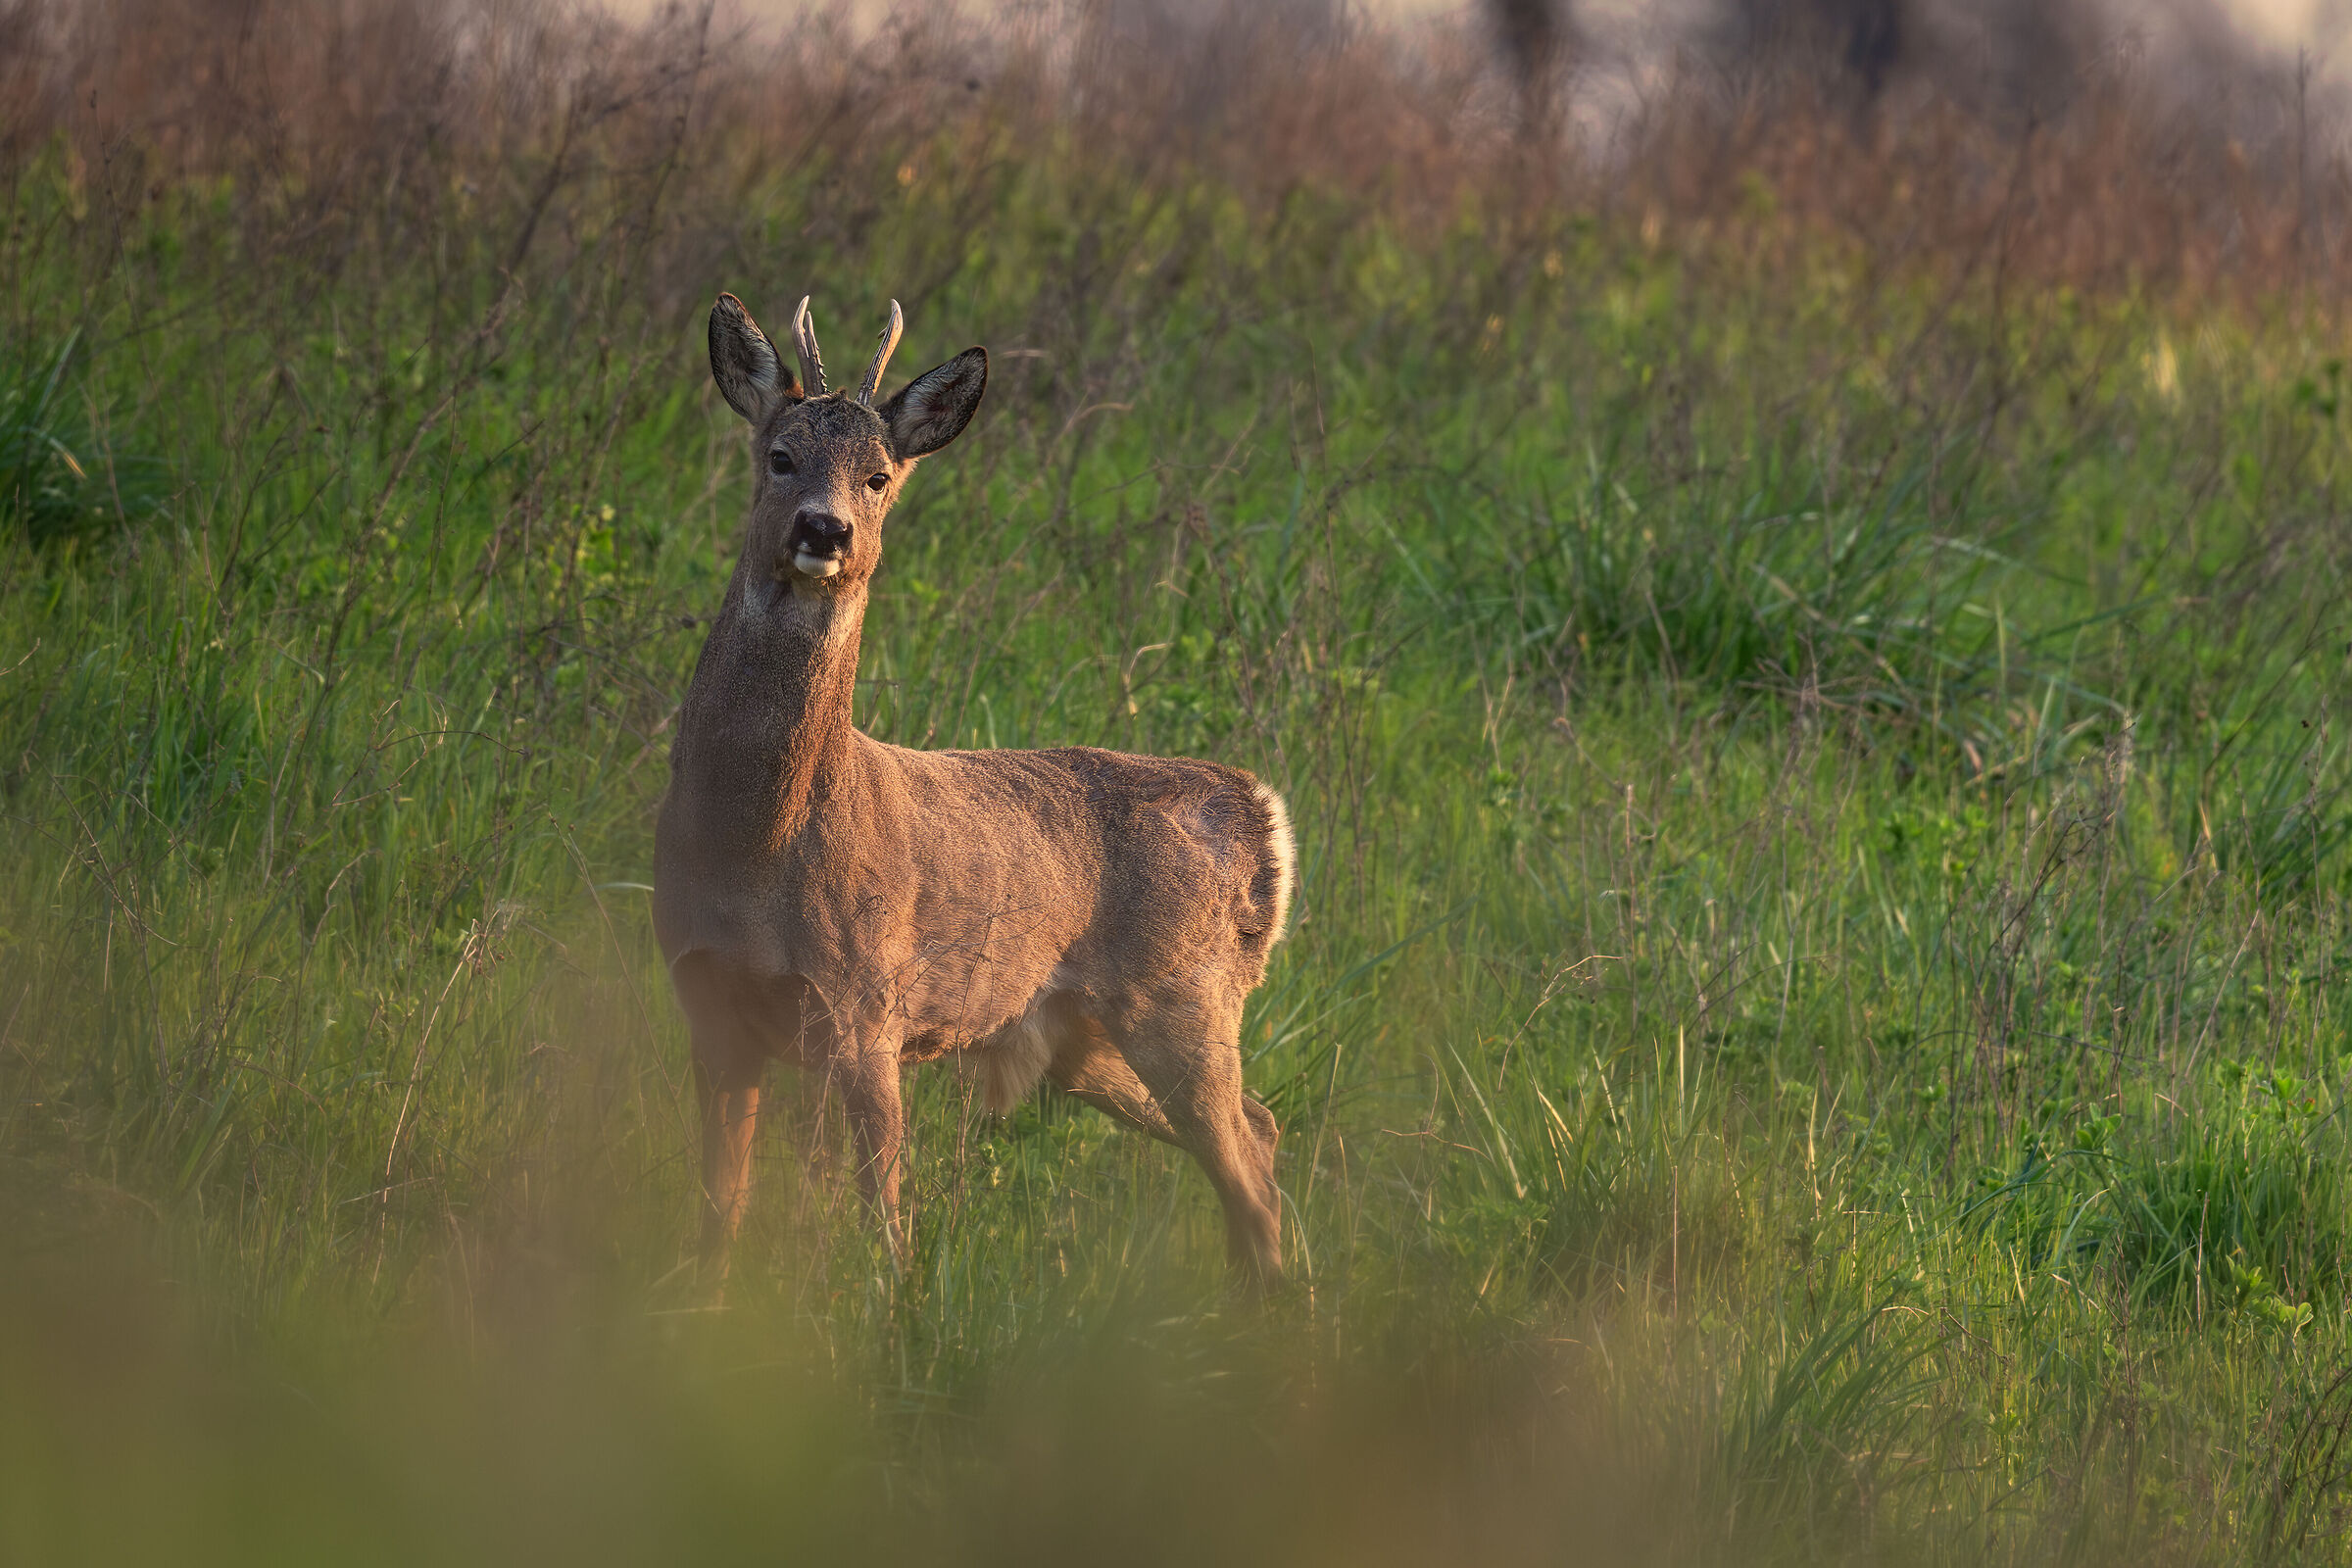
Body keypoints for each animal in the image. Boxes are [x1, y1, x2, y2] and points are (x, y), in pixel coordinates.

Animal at [653, 291, 1295, 1292]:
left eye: (878, 477)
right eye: (780, 455)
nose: (825, 530)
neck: (752, 848)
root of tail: (1261, 816)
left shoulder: (867, 1004)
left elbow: (883, 1215)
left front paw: (889, 1311)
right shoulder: (708, 1005)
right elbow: (720, 1214)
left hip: (1186, 996)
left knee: (1247, 1156)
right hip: (1082, 1038)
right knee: (1259, 1135)